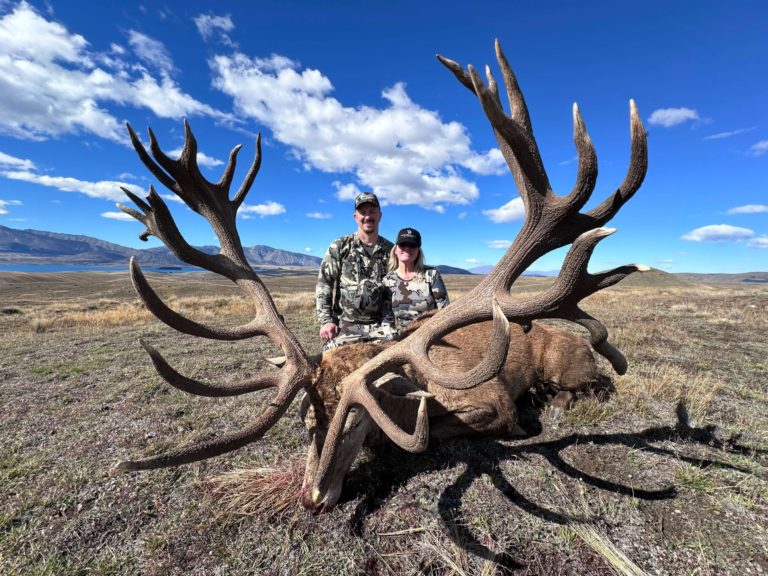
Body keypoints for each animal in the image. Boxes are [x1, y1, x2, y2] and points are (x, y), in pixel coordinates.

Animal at [115, 40, 648, 515]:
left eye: (355, 423)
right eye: (306, 420)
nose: (312, 498)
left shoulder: (493, 403)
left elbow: (451, 431)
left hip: (569, 363)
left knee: (599, 381)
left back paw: (559, 399)